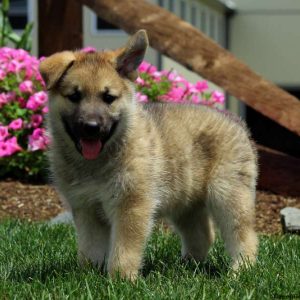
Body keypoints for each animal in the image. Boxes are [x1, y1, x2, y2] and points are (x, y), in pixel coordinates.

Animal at [39, 29, 258, 278]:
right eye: (74, 96)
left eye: (108, 98)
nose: (91, 127)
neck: (97, 162)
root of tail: (236, 122)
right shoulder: (86, 208)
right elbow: (90, 247)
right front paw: (89, 274)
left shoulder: (132, 205)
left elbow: (124, 249)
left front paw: (121, 279)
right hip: (186, 202)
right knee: (202, 234)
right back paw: (188, 265)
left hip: (228, 195)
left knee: (244, 235)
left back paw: (240, 270)